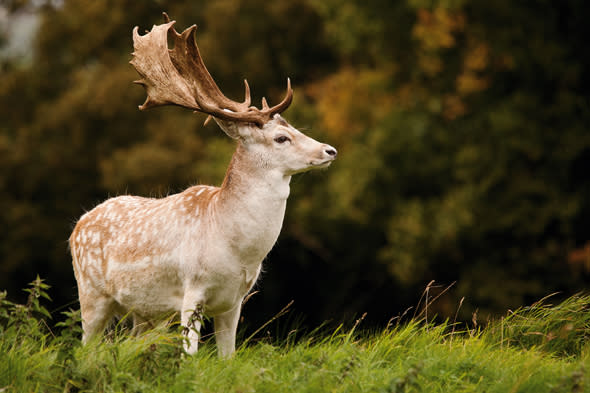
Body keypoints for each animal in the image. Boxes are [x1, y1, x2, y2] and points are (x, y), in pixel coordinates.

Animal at [69, 13, 338, 356]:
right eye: (281, 138)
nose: (330, 151)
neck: (234, 250)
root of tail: (77, 225)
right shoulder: (191, 290)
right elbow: (190, 355)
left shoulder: (234, 301)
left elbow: (228, 357)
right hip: (91, 295)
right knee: (85, 349)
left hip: (145, 312)